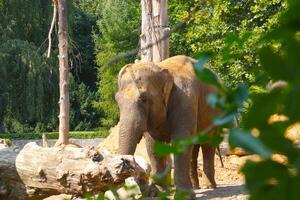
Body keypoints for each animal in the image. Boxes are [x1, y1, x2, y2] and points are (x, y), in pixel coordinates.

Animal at [116, 55, 218, 197]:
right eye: (117, 100)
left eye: (143, 99)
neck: (161, 69)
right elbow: (153, 145)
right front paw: (157, 192)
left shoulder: (185, 100)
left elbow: (181, 141)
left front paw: (183, 196)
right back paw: (197, 187)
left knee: (208, 143)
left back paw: (210, 186)